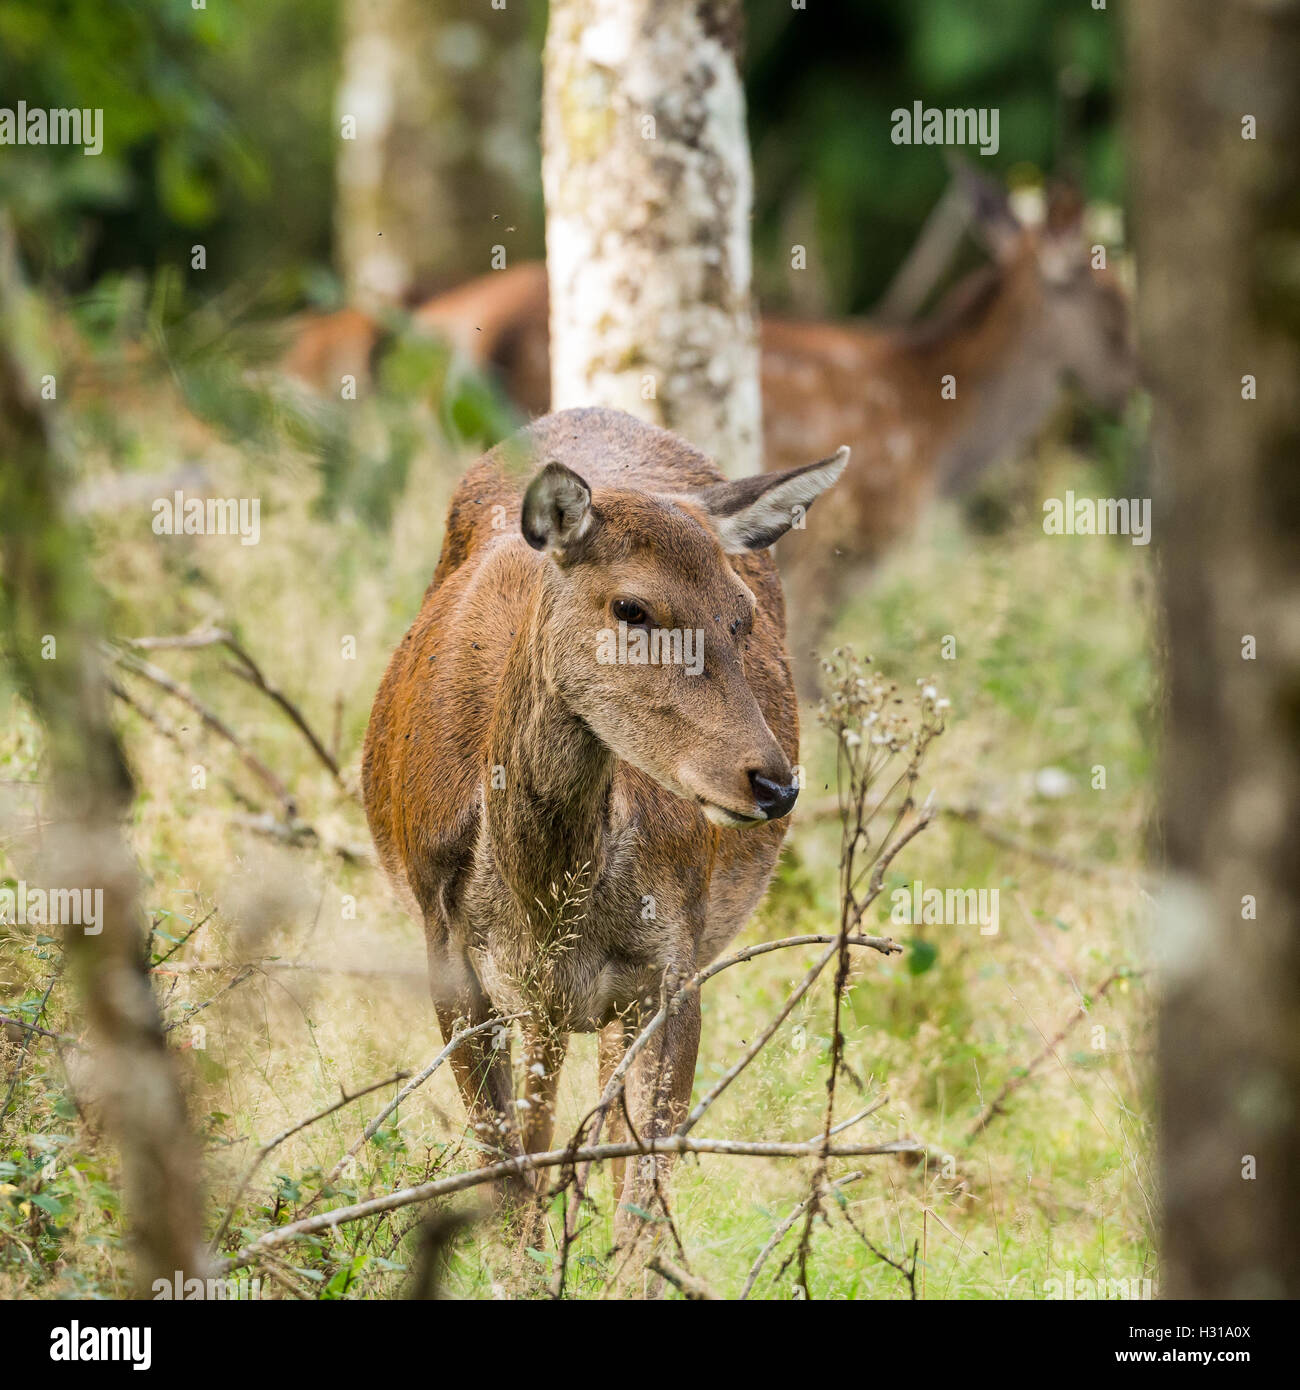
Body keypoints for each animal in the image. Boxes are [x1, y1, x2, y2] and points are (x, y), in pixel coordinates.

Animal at [361, 405, 847, 1248]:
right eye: (632, 607)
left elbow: (642, 1200)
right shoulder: (452, 953)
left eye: (741, 618)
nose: (774, 783)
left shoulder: (672, 961)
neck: (542, 894)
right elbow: (508, 1179)